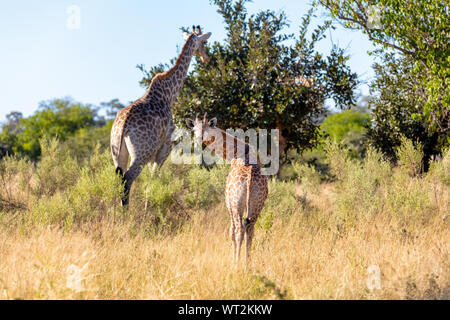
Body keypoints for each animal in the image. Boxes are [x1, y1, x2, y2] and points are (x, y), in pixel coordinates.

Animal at [111, 25, 212, 205]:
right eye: (204, 42)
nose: (207, 57)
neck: (169, 94)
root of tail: (122, 126)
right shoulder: (164, 148)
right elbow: (153, 181)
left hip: (117, 153)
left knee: (119, 180)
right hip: (141, 153)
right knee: (128, 179)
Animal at [185, 114, 268, 264]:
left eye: (207, 129)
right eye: (194, 129)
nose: (199, 141)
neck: (236, 154)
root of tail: (250, 178)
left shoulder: (228, 203)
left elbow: (231, 232)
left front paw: (233, 260)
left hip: (236, 203)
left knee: (239, 230)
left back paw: (237, 264)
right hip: (257, 204)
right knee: (250, 229)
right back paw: (247, 264)